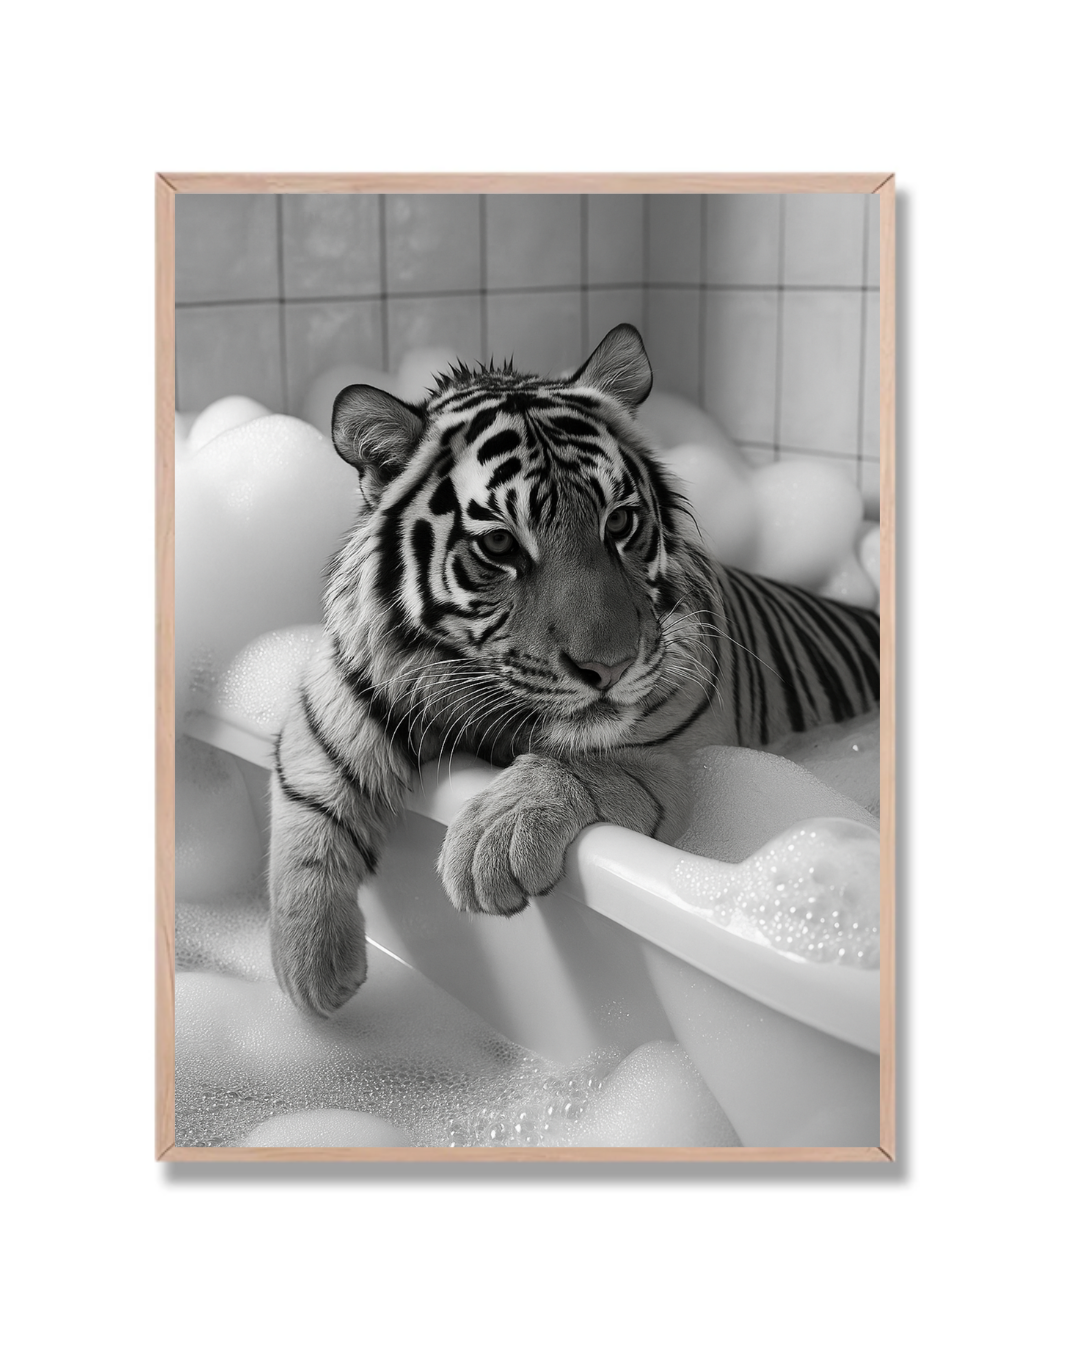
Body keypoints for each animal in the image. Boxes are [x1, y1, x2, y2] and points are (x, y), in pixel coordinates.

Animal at [269, 324, 880, 1017]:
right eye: (499, 544)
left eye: (620, 521)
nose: (609, 666)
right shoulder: (332, 705)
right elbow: (304, 809)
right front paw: (309, 968)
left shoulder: (660, 755)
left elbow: (579, 761)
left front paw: (491, 841)